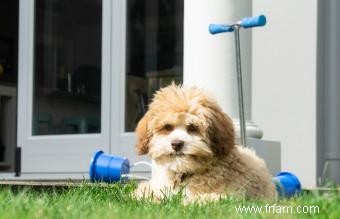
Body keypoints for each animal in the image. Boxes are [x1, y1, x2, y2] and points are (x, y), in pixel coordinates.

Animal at [133, 84, 276, 204]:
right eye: (167, 127)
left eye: (192, 127)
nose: (177, 144)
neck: (184, 174)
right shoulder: (155, 186)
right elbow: (142, 193)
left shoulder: (228, 195)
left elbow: (194, 199)